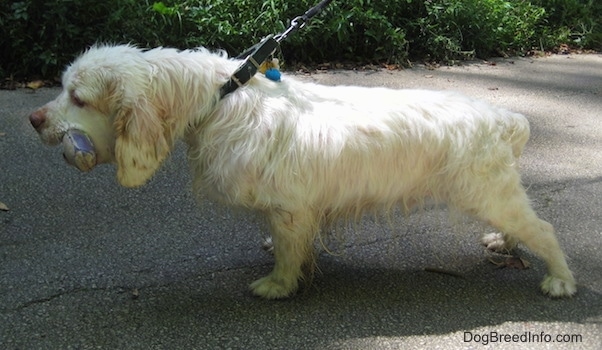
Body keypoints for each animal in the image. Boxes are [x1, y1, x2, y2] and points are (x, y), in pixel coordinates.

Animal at [30, 43, 576, 298]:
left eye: (79, 98)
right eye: (62, 88)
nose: (33, 120)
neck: (220, 99)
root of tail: (503, 117)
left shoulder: (291, 208)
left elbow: (290, 254)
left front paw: (277, 286)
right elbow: (286, 242)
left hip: (488, 192)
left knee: (546, 230)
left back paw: (560, 281)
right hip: (496, 194)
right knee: (522, 226)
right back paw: (504, 243)